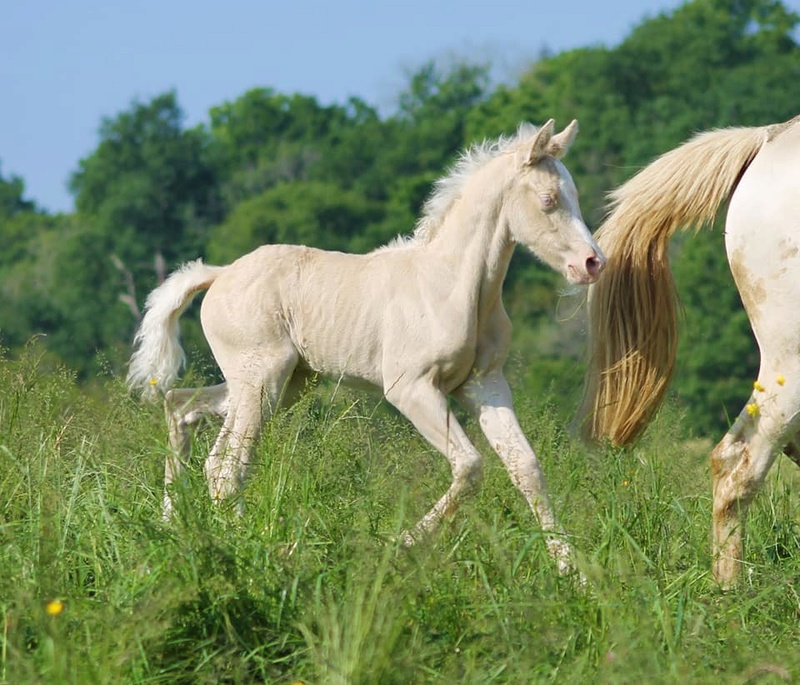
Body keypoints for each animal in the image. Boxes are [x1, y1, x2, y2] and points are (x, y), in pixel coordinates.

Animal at [128, 120, 604, 576]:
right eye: (548, 199)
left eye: (575, 195)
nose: (592, 263)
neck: (451, 284)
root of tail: (220, 273)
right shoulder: (411, 389)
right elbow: (470, 466)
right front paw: (398, 547)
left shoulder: (483, 385)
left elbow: (526, 469)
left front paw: (574, 573)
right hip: (262, 380)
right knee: (227, 464)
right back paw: (253, 548)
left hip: (284, 383)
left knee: (181, 408)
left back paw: (175, 526)